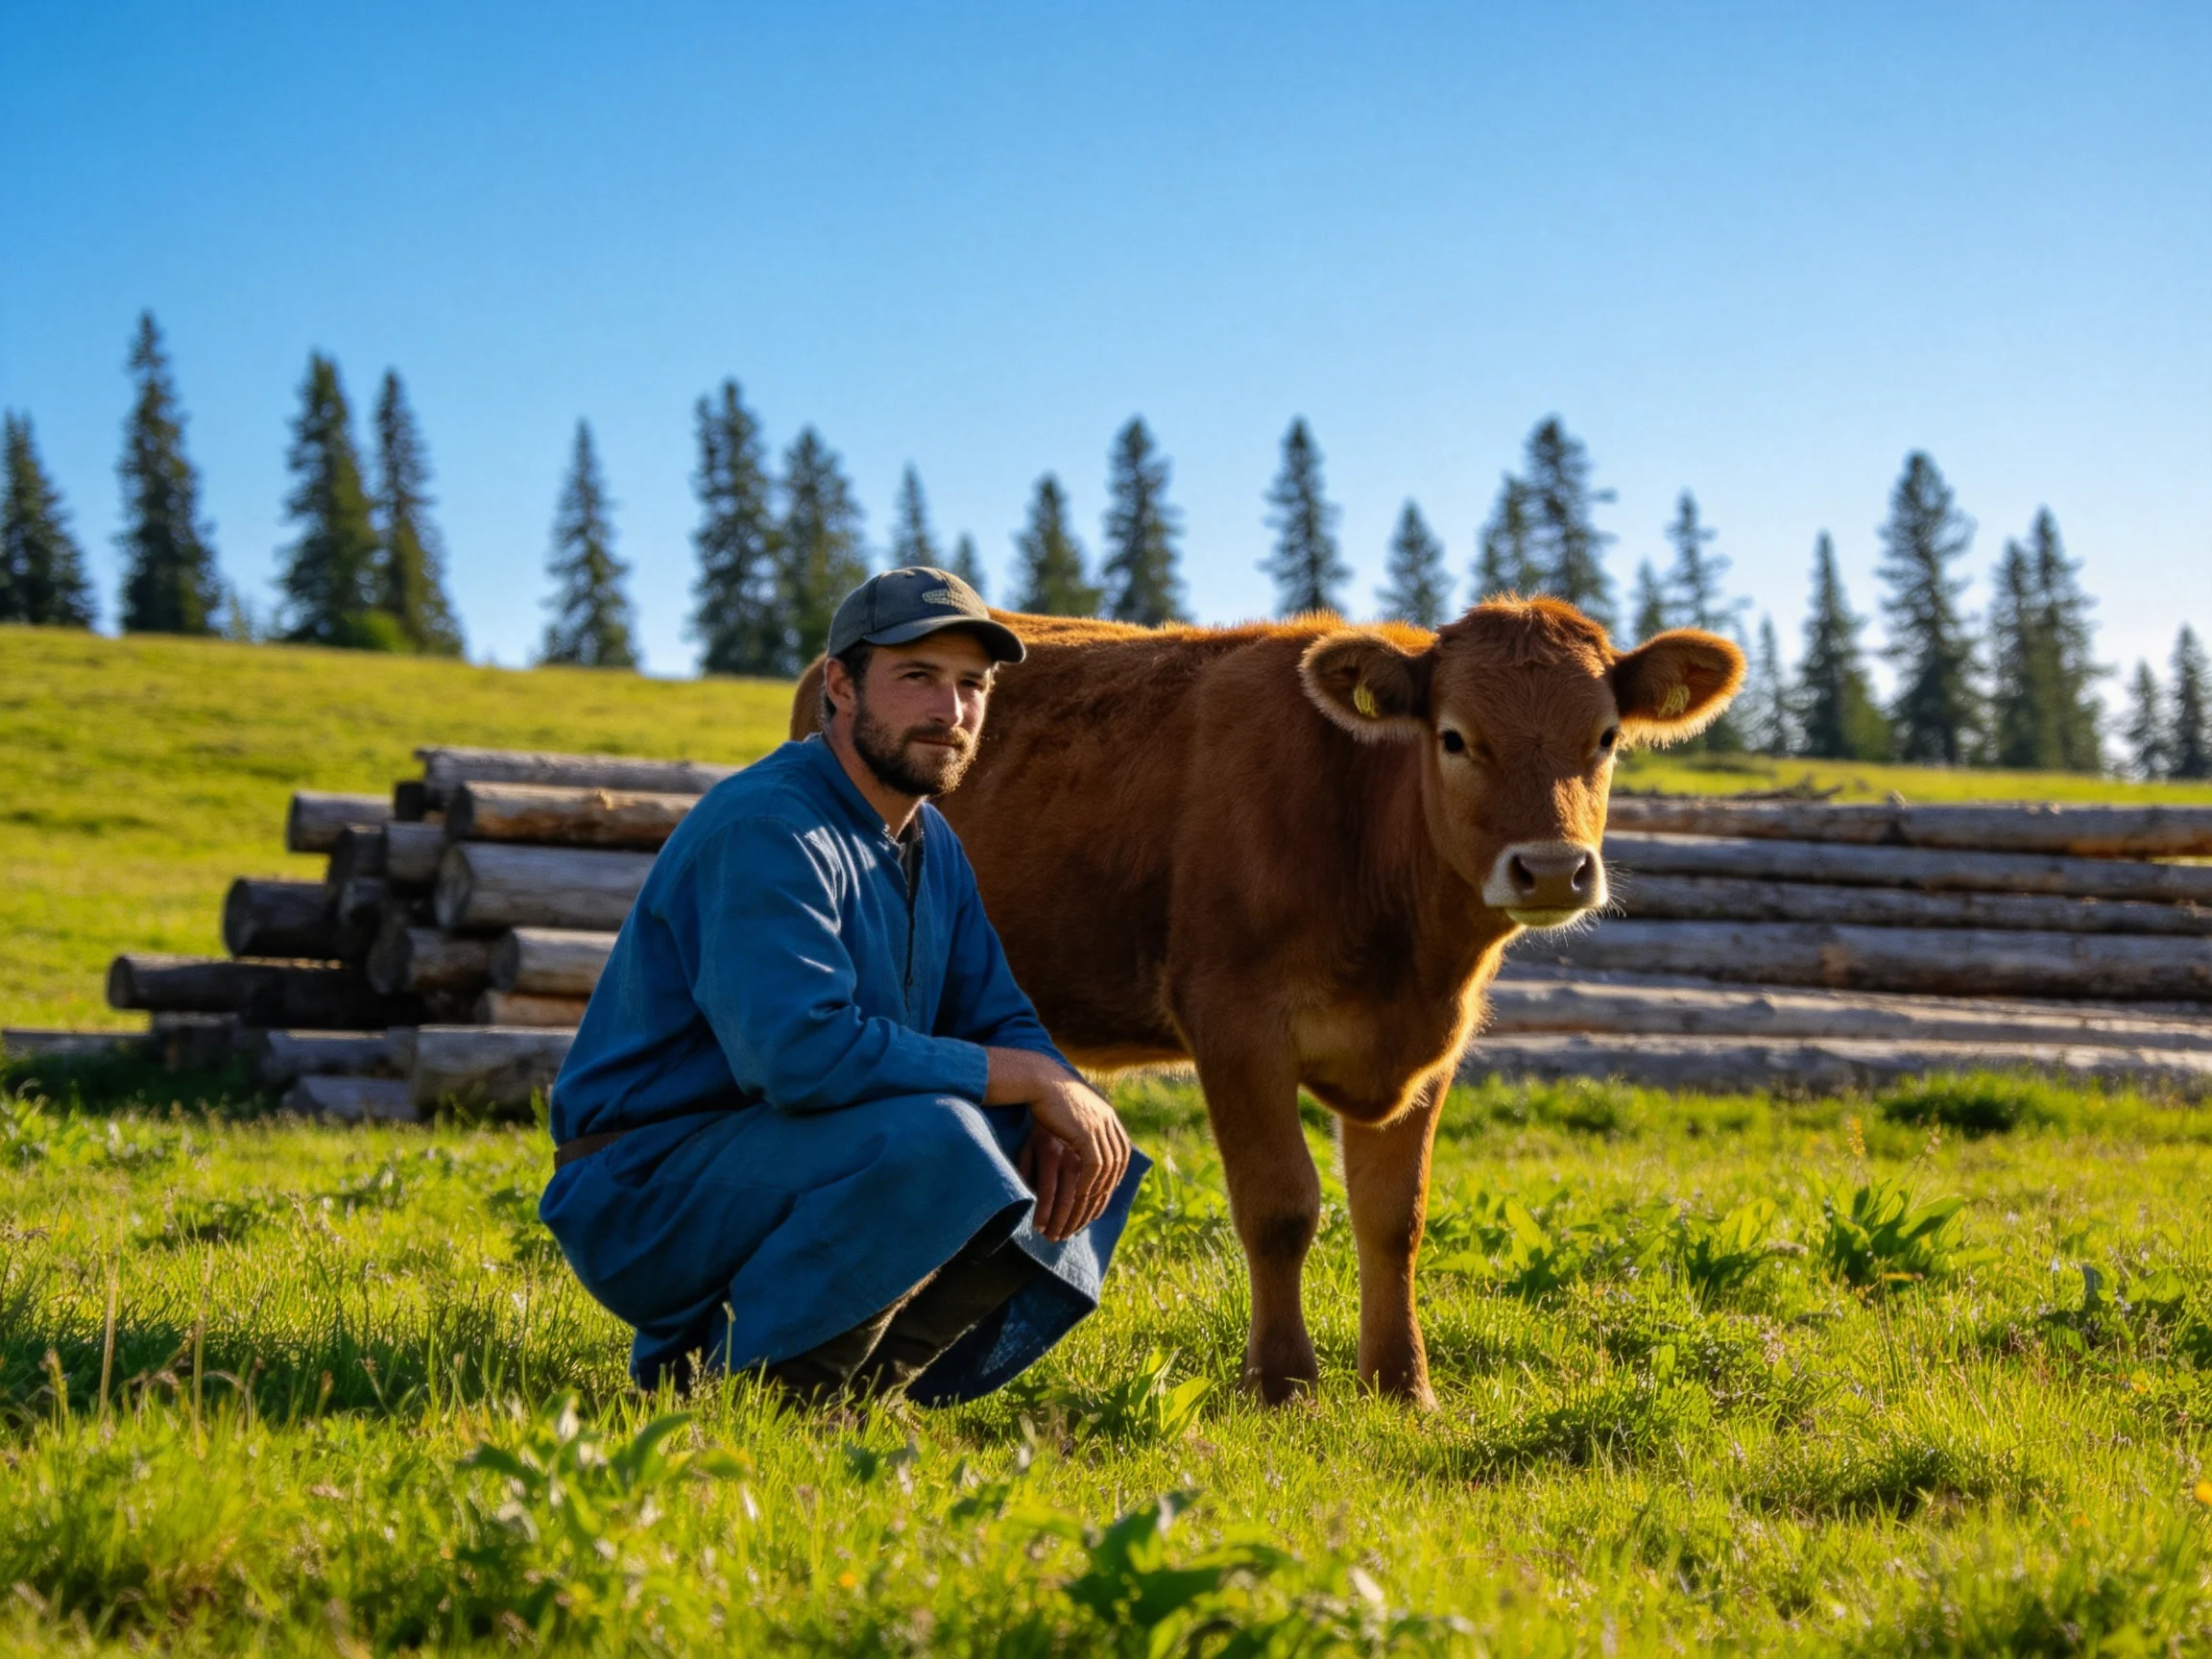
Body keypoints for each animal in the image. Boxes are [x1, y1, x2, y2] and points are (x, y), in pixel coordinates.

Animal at [791, 598, 1743, 1407]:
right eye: (1454, 738)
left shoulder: (1430, 1049)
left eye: (1606, 737)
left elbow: (1394, 1218)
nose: (1550, 869)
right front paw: (1284, 1385)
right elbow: (1281, 1207)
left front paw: (1404, 1387)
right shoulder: (1236, 1024)